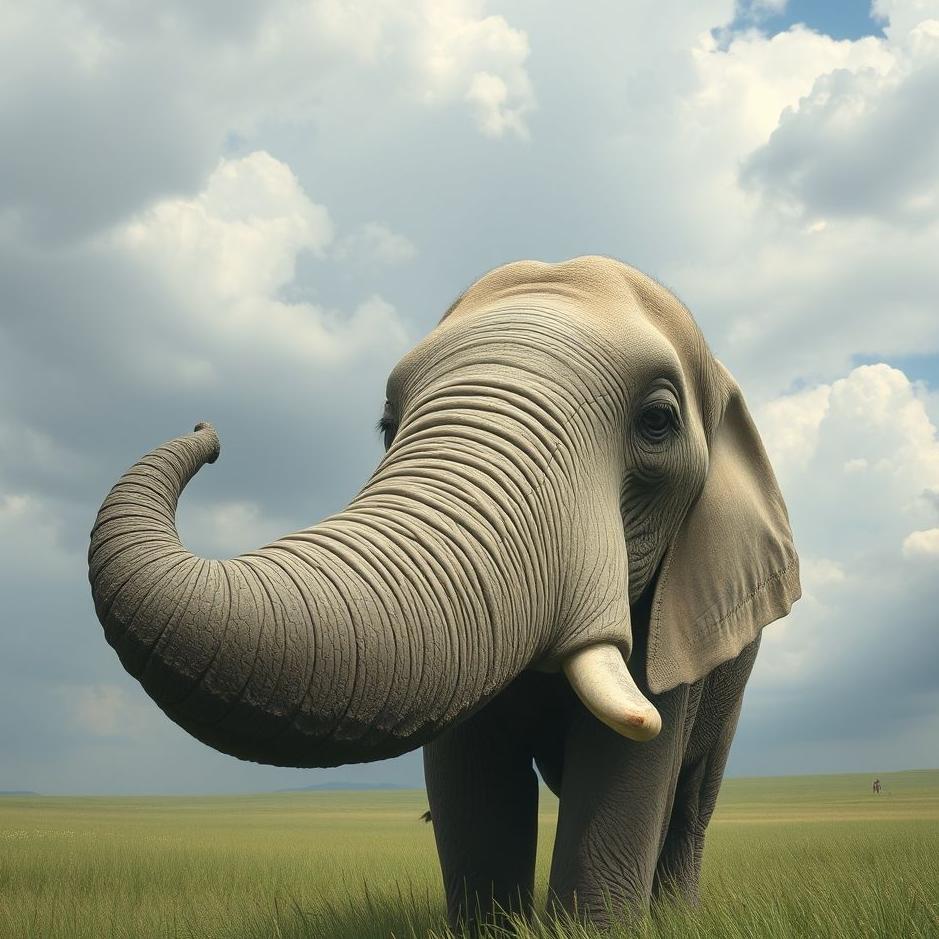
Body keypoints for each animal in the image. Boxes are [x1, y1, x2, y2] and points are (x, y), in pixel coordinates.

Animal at [88, 255, 800, 930]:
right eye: (386, 425)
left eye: (657, 421)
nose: (207, 430)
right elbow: (472, 779)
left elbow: (630, 762)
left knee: (690, 803)